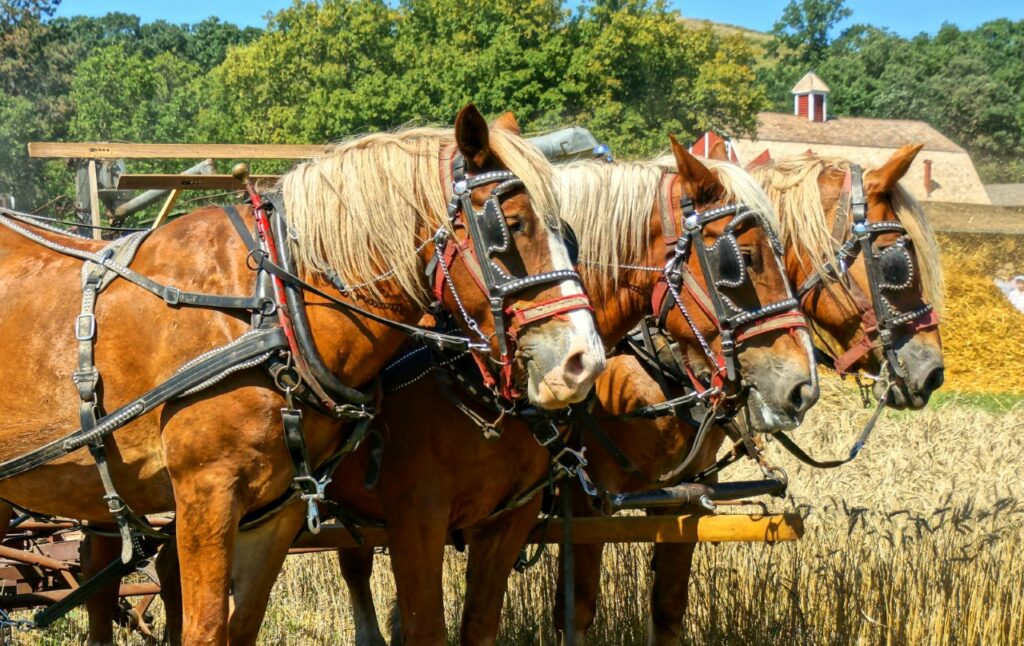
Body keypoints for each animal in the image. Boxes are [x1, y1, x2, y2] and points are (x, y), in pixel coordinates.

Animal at [0, 105, 604, 644]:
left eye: (571, 233)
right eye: (511, 226)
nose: (583, 362)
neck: (274, 303)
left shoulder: (277, 507)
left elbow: (243, 625)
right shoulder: (206, 493)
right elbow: (204, 628)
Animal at [550, 143, 945, 644]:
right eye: (894, 259)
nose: (932, 372)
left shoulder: (686, 494)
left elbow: (668, 607)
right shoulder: (584, 503)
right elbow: (576, 612)